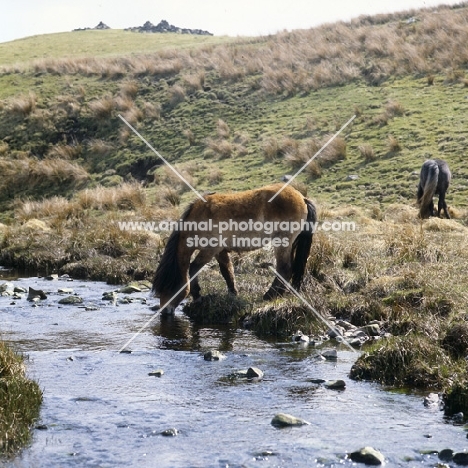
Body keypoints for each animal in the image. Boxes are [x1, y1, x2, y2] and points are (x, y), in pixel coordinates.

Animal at [152, 184, 316, 314]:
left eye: (169, 286)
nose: (164, 312)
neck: (199, 217)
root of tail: (302, 197)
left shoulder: (211, 249)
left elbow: (193, 268)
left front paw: (197, 296)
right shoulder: (220, 251)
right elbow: (227, 271)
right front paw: (233, 294)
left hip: (282, 242)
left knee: (284, 269)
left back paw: (269, 295)